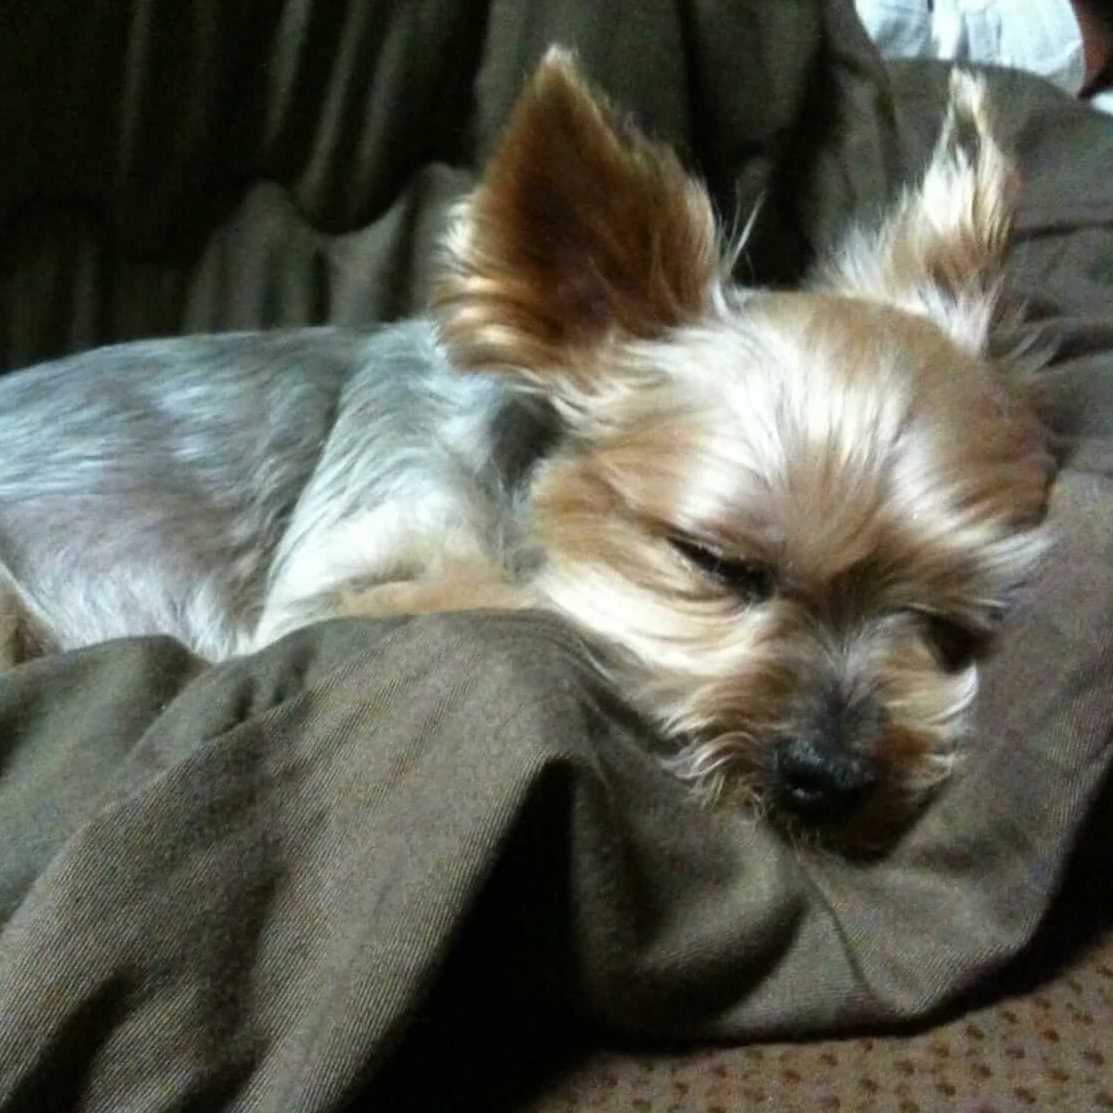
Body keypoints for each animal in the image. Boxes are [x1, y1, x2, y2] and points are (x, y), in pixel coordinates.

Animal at [0, 50, 1053, 848]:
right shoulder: (321, 589)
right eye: (713, 564)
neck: (507, 490)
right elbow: (522, 597)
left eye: (948, 618)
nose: (829, 778)